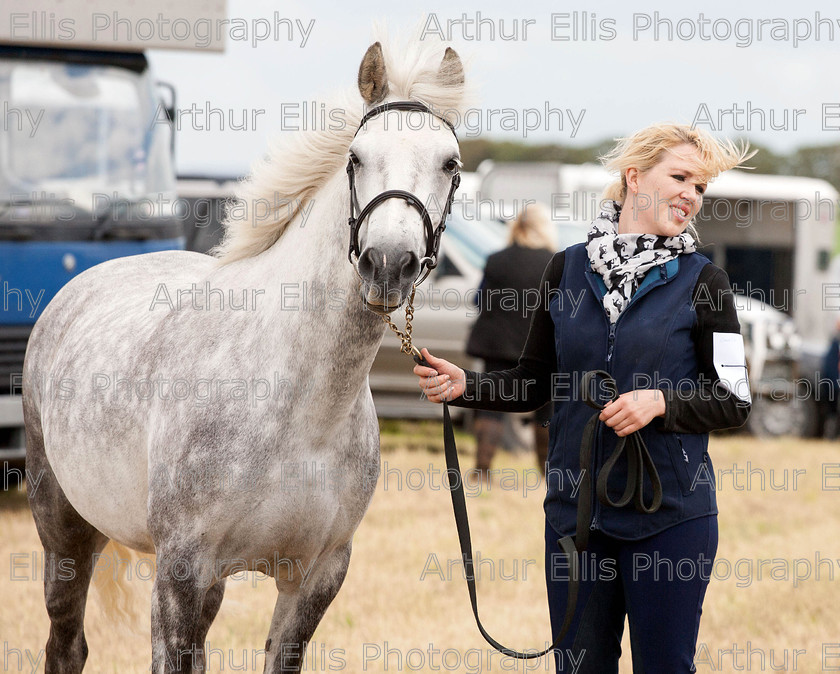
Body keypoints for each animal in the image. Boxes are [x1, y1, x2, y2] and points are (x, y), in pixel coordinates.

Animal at [21, 38, 466, 672]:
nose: (387, 264)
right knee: (65, 644)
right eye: (356, 157)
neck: (299, 409)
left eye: (450, 163)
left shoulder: (315, 577)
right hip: (63, 529)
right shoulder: (181, 574)